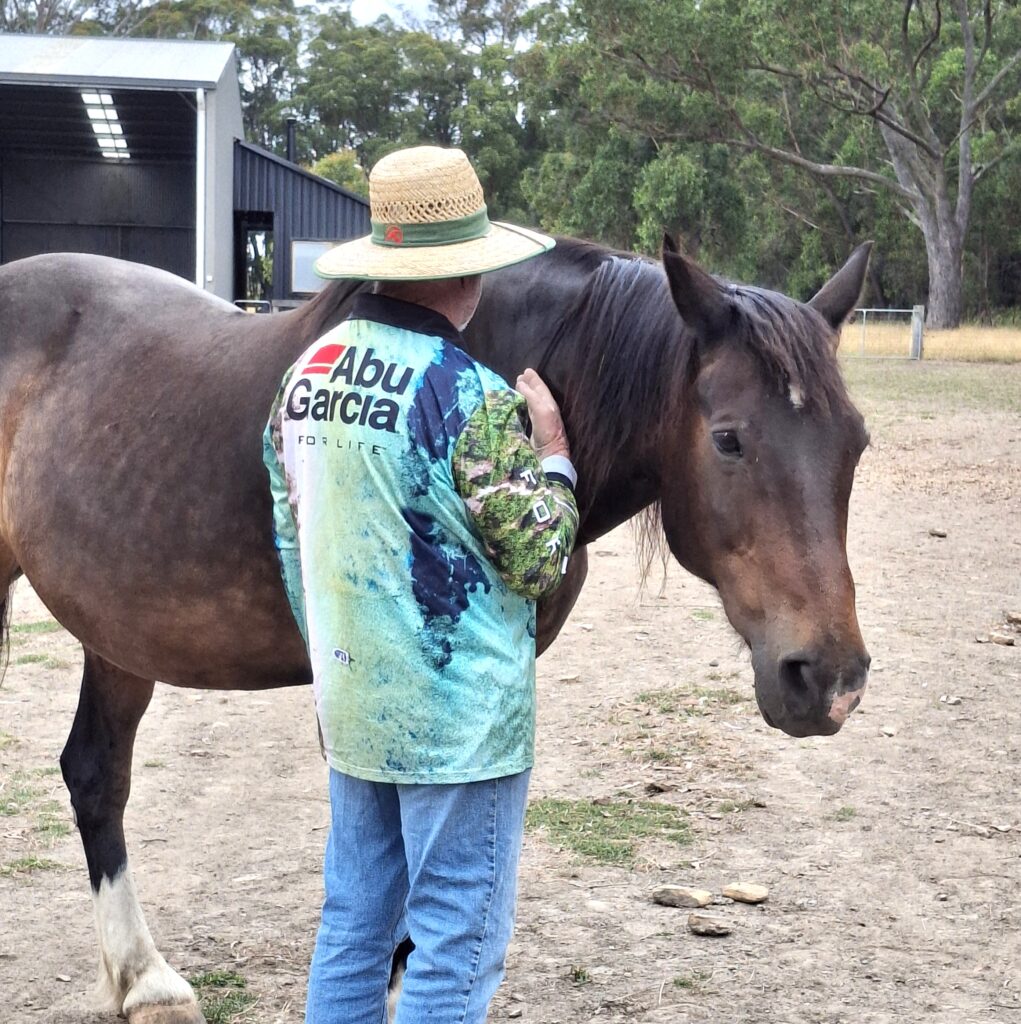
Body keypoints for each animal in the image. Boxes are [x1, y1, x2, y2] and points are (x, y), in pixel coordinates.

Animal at [0, 235, 871, 1023]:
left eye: (856, 443)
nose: (828, 678)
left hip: (118, 631)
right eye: (728, 438)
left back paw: (142, 980)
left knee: (96, 775)